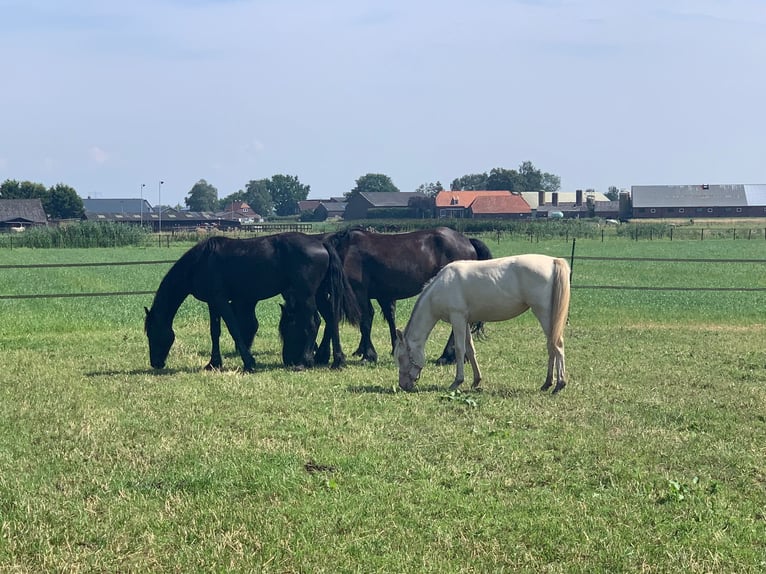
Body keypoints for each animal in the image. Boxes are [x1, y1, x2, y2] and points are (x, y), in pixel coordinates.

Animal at [146, 234, 362, 374]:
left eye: (151, 333)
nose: (155, 363)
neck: (201, 261)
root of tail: (322, 243)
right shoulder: (213, 303)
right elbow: (215, 332)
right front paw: (213, 363)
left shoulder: (221, 300)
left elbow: (234, 329)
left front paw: (248, 362)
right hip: (319, 294)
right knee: (331, 320)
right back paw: (337, 361)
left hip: (307, 295)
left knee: (313, 323)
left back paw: (304, 362)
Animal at [292, 228, 496, 364]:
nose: (293, 358)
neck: (342, 251)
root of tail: (467, 241)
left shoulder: (359, 292)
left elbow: (364, 321)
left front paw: (368, 355)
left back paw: (447, 356)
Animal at [396, 256, 568, 396]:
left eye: (400, 357)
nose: (403, 385)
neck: (442, 286)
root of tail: (553, 261)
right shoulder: (465, 321)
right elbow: (470, 349)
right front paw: (476, 380)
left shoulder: (457, 318)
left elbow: (460, 350)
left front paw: (457, 382)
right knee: (551, 346)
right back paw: (547, 383)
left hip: (543, 313)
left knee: (557, 345)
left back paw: (559, 384)